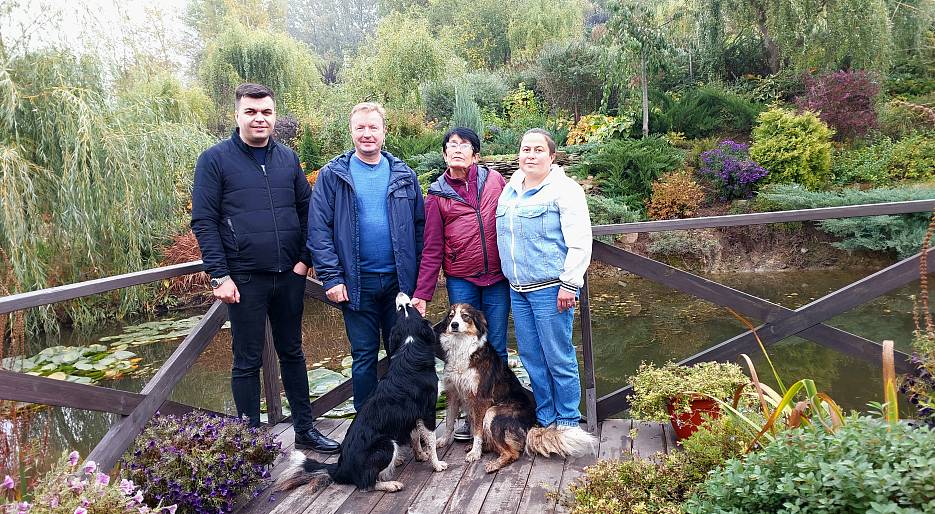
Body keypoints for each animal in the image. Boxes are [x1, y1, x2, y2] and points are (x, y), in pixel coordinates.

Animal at [276, 290, 448, 490]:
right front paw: (437, 464)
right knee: (366, 482)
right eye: (404, 307)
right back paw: (391, 484)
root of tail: (340, 468)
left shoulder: (412, 414)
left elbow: (414, 436)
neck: (410, 349)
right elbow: (430, 441)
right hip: (386, 444)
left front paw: (420, 455)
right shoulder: (428, 410)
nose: (400, 293)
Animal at [436, 302, 596, 470]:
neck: (461, 346)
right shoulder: (453, 393)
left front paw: (475, 452)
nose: (454, 325)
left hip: (492, 413)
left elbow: (478, 431)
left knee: (512, 453)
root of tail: (531, 426)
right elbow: (449, 421)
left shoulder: (481, 399)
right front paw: (443, 441)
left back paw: (493, 464)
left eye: (465, 316)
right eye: (451, 316)